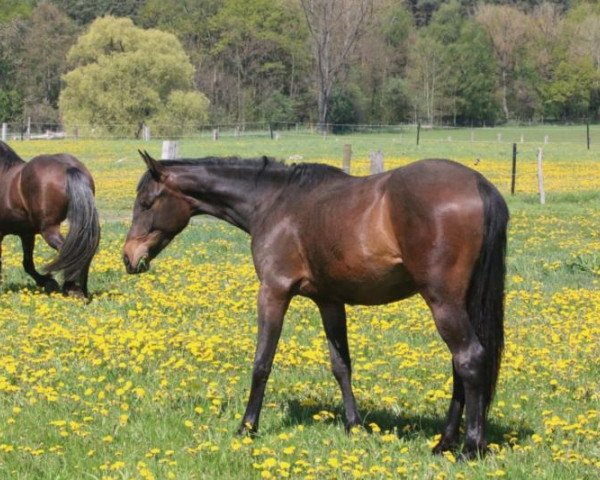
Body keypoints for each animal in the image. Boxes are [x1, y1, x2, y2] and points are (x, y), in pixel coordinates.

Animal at [0, 140, 99, 296]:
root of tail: (69, 168)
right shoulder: (26, 234)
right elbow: (27, 263)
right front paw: (48, 282)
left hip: (49, 229)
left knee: (69, 251)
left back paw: (72, 288)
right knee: (85, 250)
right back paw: (82, 289)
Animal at [124, 151, 508, 458]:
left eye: (145, 203)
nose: (129, 257)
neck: (275, 201)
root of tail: (479, 184)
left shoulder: (273, 292)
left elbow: (262, 363)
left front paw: (247, 427)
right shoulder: (329, 301)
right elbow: (341, 366)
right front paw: (354, 426)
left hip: (443, 302)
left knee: (469, 358)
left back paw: (469, 447)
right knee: (461, 365)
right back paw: (445, 443)